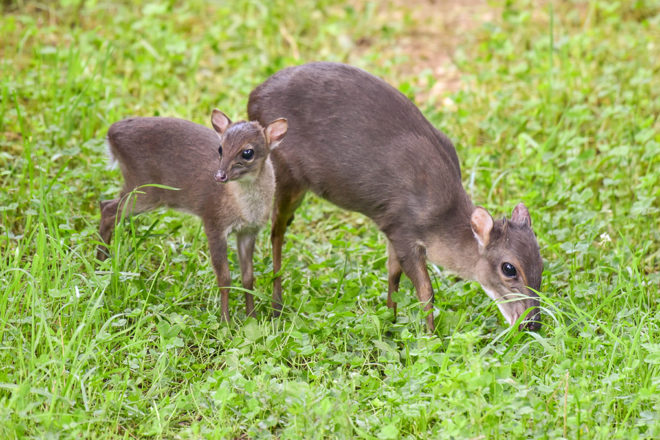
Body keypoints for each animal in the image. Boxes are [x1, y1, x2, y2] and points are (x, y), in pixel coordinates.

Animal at [96, 110, 288, 320]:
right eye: (220, 148)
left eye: (248, 152)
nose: (220, 176)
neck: (244, 209)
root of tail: (111, 133)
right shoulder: (213, 221)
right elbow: (224, 278)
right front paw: (225, 321)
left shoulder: (248, 231)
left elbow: (248, 277)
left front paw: (251, 317)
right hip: (145, 189)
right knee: (108, 209)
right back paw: (100, 266)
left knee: (107, 206)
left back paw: (103, 265)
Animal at [250, 61, 544, 330]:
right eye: (509, 268)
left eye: (541, 265)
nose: (533, 324)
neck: (440, 217)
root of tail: (254, 96)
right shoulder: (404, 229)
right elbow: (426, 291)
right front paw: (431, 337)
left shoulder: (390, 228)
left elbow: (393, 276)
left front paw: (390, 321)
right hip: (286, 172)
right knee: (276, 229)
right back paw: (275, 305)